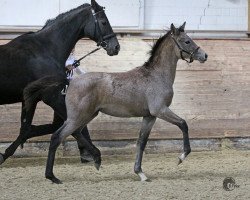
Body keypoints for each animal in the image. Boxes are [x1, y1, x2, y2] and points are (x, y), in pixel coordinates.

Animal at [0, 0, 120, 166]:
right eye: (103, 22)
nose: (116, 47)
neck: (45, 50)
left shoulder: (31, 98)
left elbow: (25, 129)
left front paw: (4, 155)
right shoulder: (50, 95)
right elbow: (74, 127)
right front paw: (96, 155)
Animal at [23, 21, 207, 183]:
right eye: (187, 41)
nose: (204, 55)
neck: (156, 76)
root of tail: (71, 81)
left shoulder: (150, 116)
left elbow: (141, 142)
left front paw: (140, 173)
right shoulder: (160, 110)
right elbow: (183, 124)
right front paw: (181, 157)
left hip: (88, 115)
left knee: (77, 133)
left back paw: (97, 159)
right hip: (77, 117)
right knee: (57, 137)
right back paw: (52, 177)